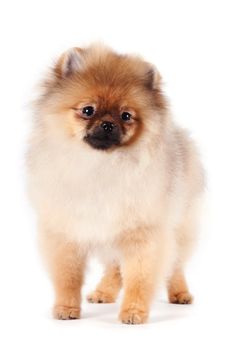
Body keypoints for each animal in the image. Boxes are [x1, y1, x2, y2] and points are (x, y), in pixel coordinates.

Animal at [27, 43, 204, 326]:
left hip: (180, 226)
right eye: (88, 110)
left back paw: (179, 293)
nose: (109, 124)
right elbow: (68, 276)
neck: (102, 166)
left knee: (174, 264)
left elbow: (139, 277)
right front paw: (66, 307)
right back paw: (103, 292)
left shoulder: (142, 234)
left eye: (126, 115)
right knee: (114, 267)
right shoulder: (66, 231)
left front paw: (133, 311)